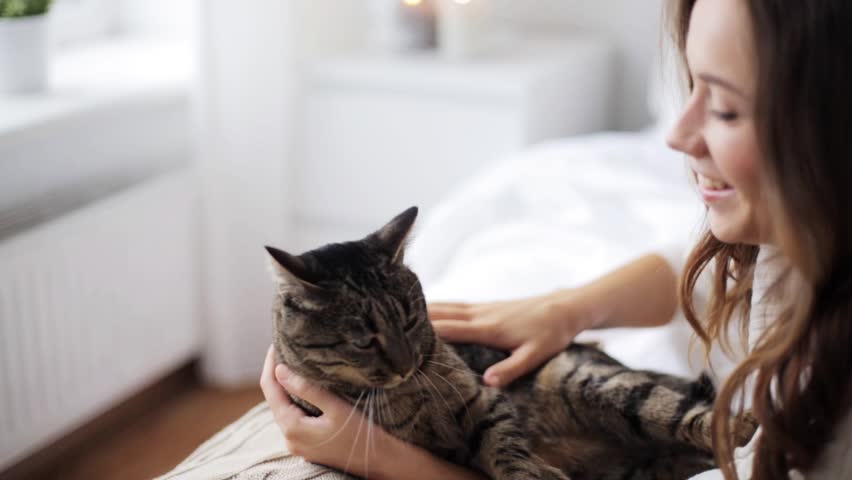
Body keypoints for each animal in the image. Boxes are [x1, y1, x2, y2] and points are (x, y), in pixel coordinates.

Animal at [264, 207, 752, 480]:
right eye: (364, 341)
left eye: (410, 320)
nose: (406, 364)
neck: (409, 391)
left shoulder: (485, 401)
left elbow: (504, 446)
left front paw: (529, 471)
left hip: (590, 381)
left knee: (678, 409)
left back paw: (740, 425)